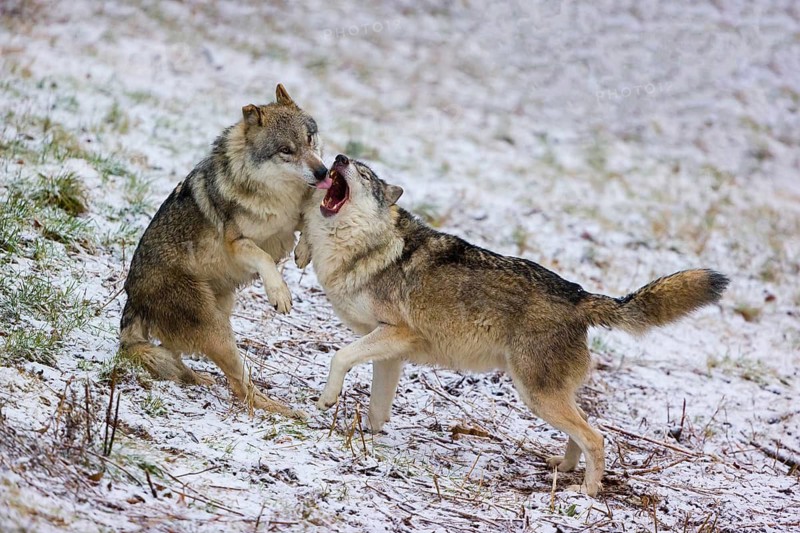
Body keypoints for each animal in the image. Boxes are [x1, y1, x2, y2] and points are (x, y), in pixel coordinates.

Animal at [120, 84, 327, 419]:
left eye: (309, 139)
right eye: (286, 150)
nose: (323, 172)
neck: (277, 194)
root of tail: (132, 297)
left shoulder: (290, 222)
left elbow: (308, 223)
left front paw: (303, 252)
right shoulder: (238, 243)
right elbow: (265, 258)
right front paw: (279, 294)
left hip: (220, 314)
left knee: (176, 356)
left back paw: (196, 377)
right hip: (217, 331)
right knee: (242, 388)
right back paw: (283, 410)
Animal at [296, 154, 729, 494]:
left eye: (363, 173)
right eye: (346, 160)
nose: (338, 158)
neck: (366, 246)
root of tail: (580, 295)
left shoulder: (397, 332)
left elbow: (339, 357)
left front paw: (327, 401)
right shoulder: (391, 352)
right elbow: (377, 407)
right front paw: (367, 440)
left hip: (536, 395)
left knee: (597, 437)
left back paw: (586, 493)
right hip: (546, 395)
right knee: (583, 432)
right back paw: (564, 469)